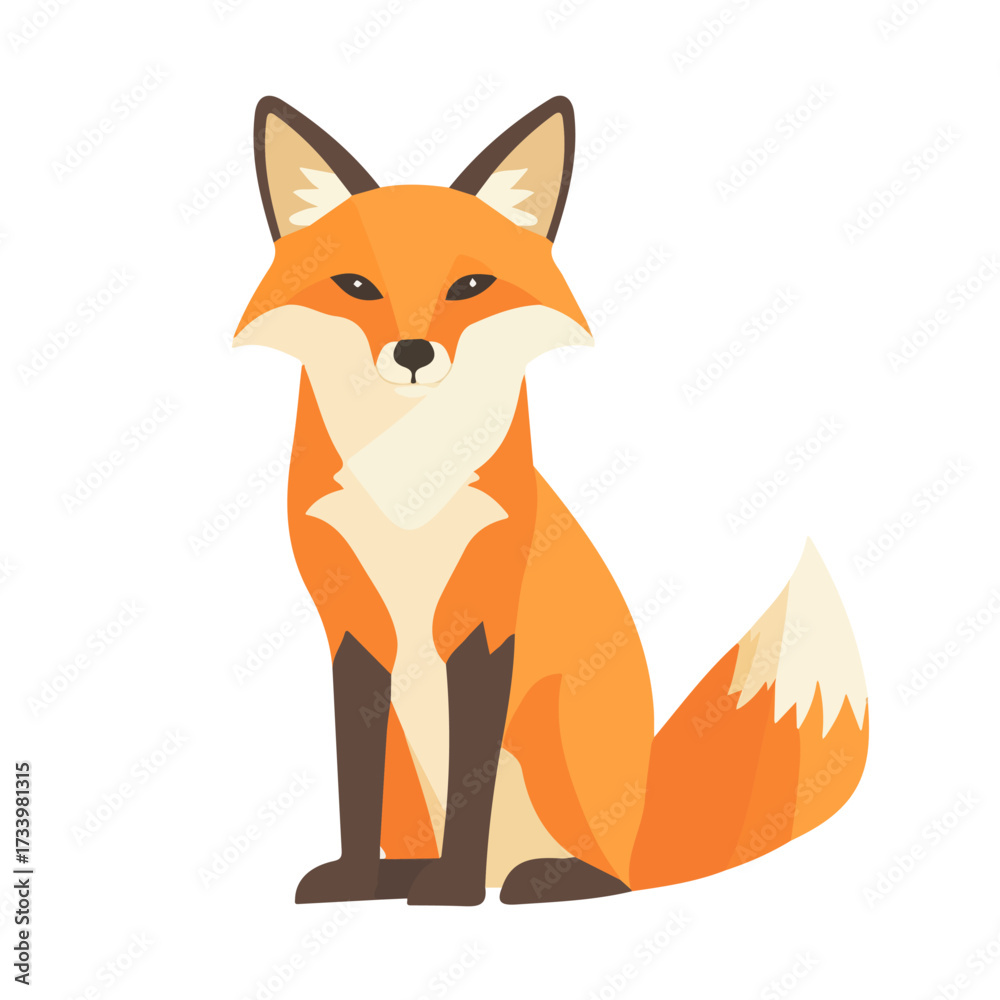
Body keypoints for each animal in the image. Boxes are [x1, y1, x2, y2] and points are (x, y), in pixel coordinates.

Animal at [232, 95, 869, 906]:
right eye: (356, 286)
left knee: (614, 877)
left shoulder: (487, 613)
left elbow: (470, 782)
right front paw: (356, 881)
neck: (412, 484)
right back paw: (405, 875)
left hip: (549, 735)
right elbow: (355, 779)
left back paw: (535, 878)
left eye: (471, 287)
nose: (413, 355)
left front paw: (453, 890)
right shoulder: (351, 624)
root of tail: (651, 823)